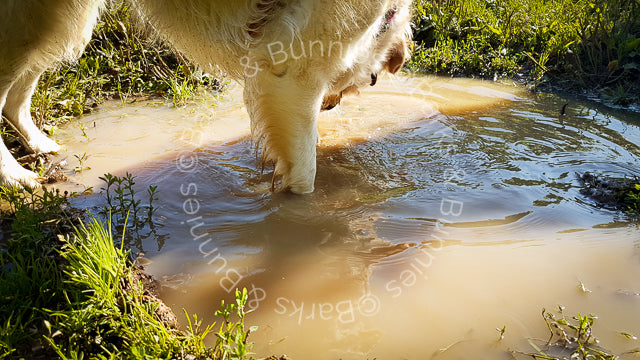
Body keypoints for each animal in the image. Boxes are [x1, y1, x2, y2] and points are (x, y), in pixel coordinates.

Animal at [1, 0, 410, 194]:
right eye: (373, 80)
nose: (333, 104)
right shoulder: (292, 74)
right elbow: (305, 171)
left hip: (58, 18)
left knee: (15, 96)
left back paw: (39, 145)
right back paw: (15, 177)